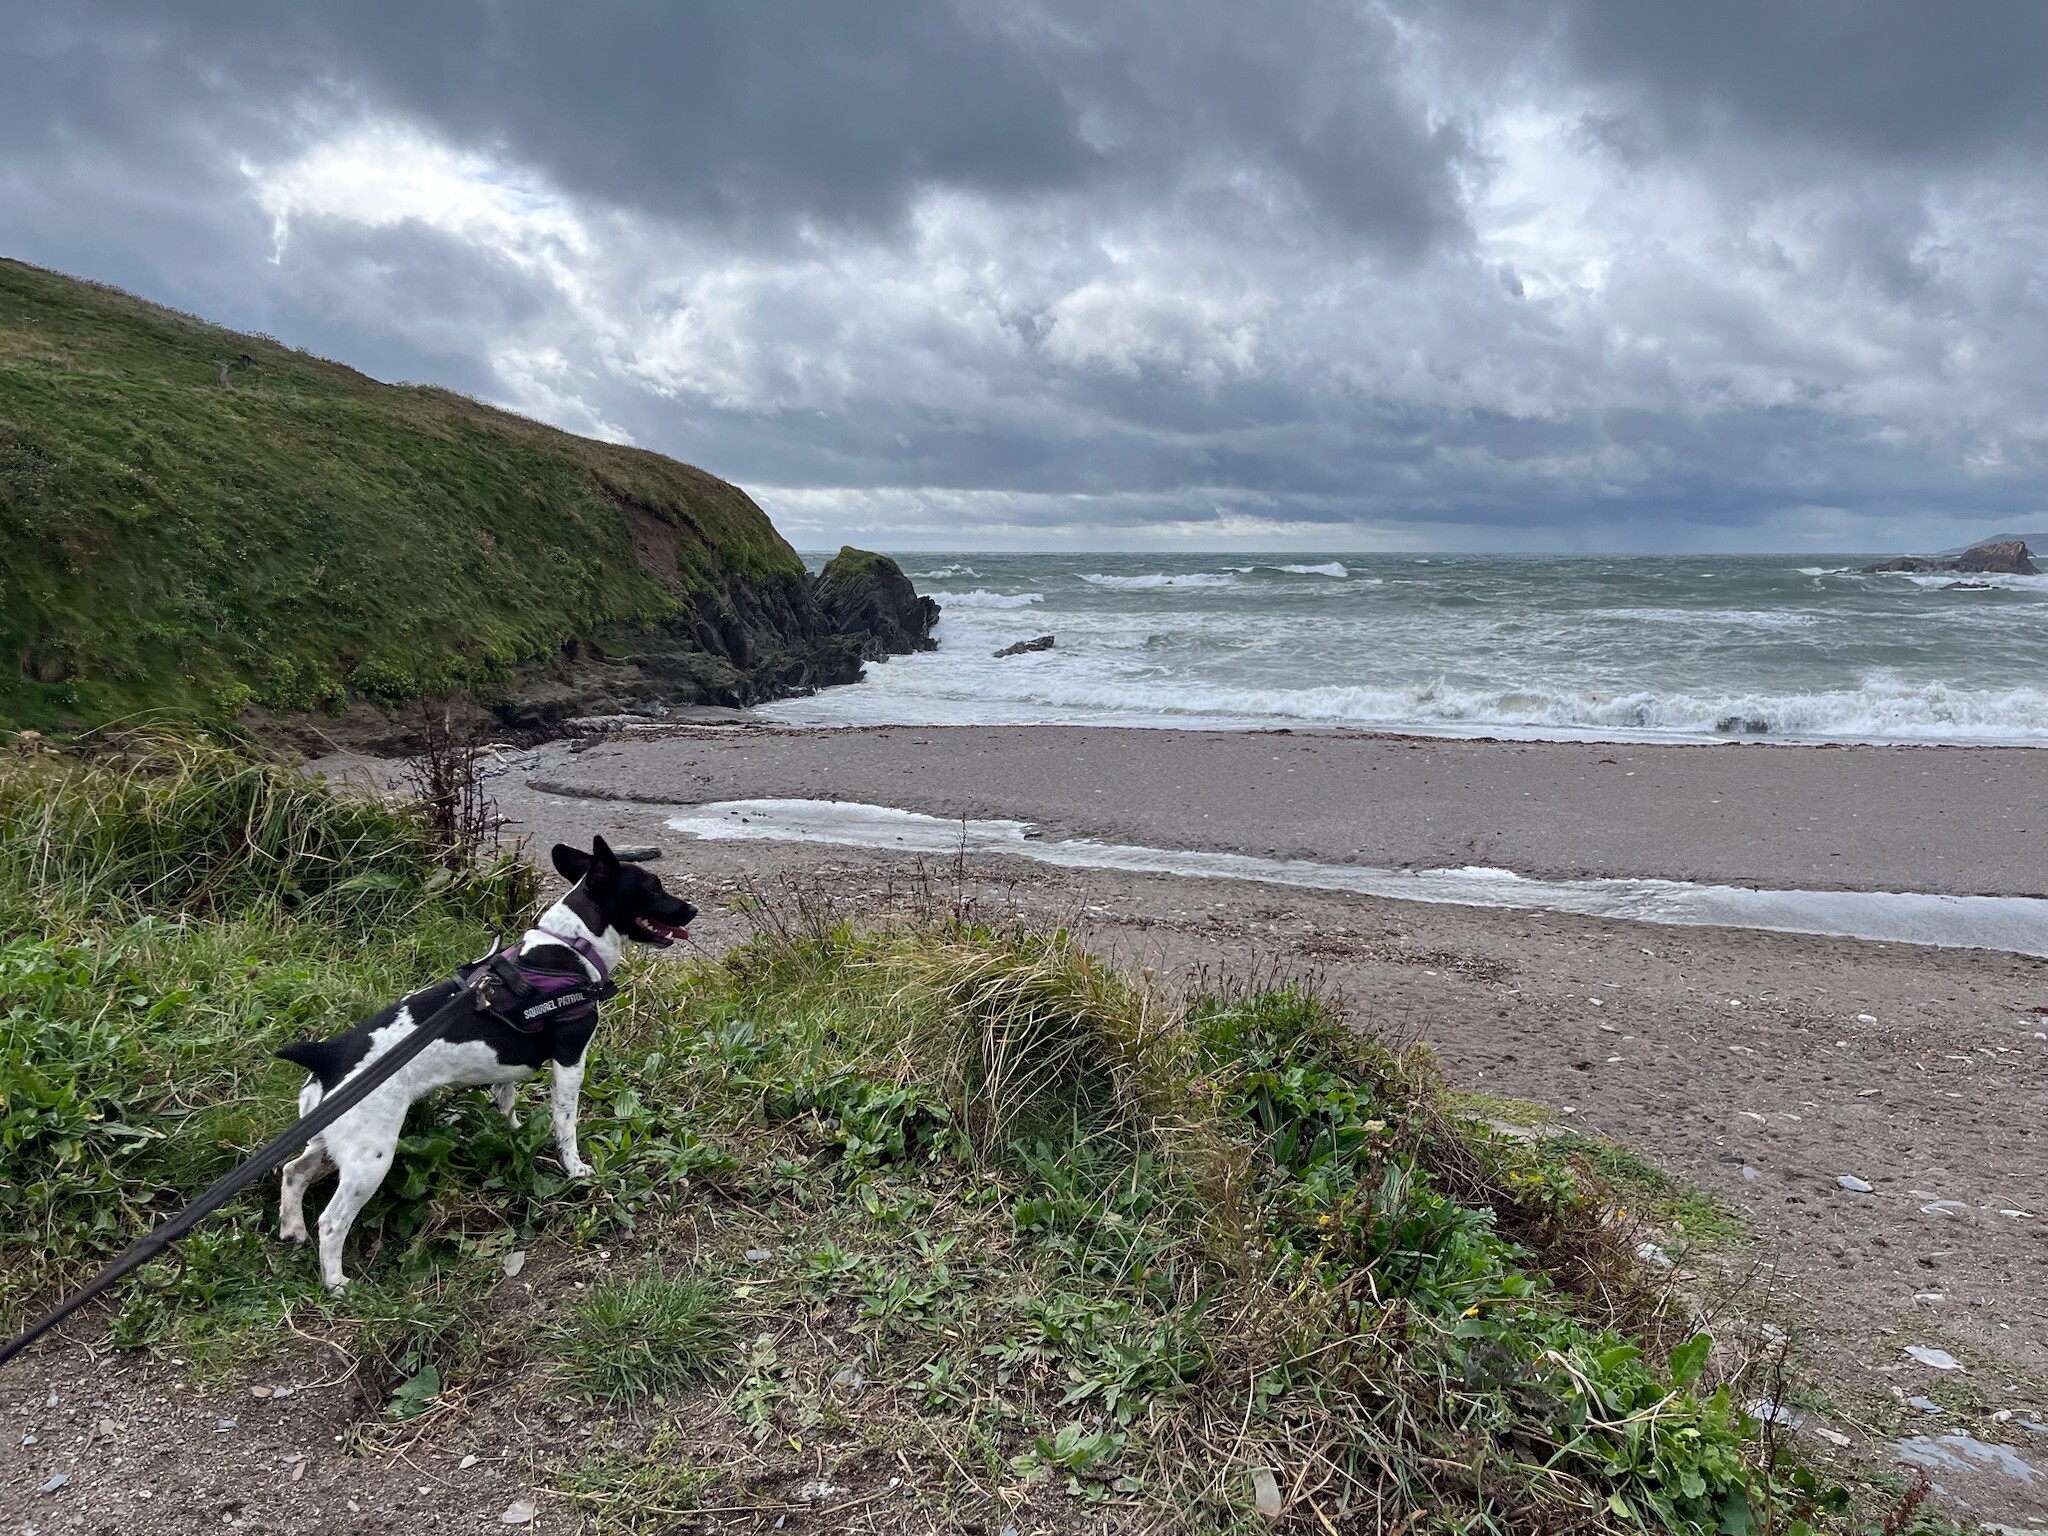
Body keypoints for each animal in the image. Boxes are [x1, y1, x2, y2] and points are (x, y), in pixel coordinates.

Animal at [272, 835, 696, 1294]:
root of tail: (328, 1054)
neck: (569, 946)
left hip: (329, 1140)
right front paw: (575, 1167)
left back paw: (292, 1229)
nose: (691, 909)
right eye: (653, 887)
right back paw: (337, 1283)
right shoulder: (570, 1061)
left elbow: (505, 1101)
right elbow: (566, 1122)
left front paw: (512, 1131)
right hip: (370, 1159)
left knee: (293, 1171)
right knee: (332, 1222)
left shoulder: (505, 1070)